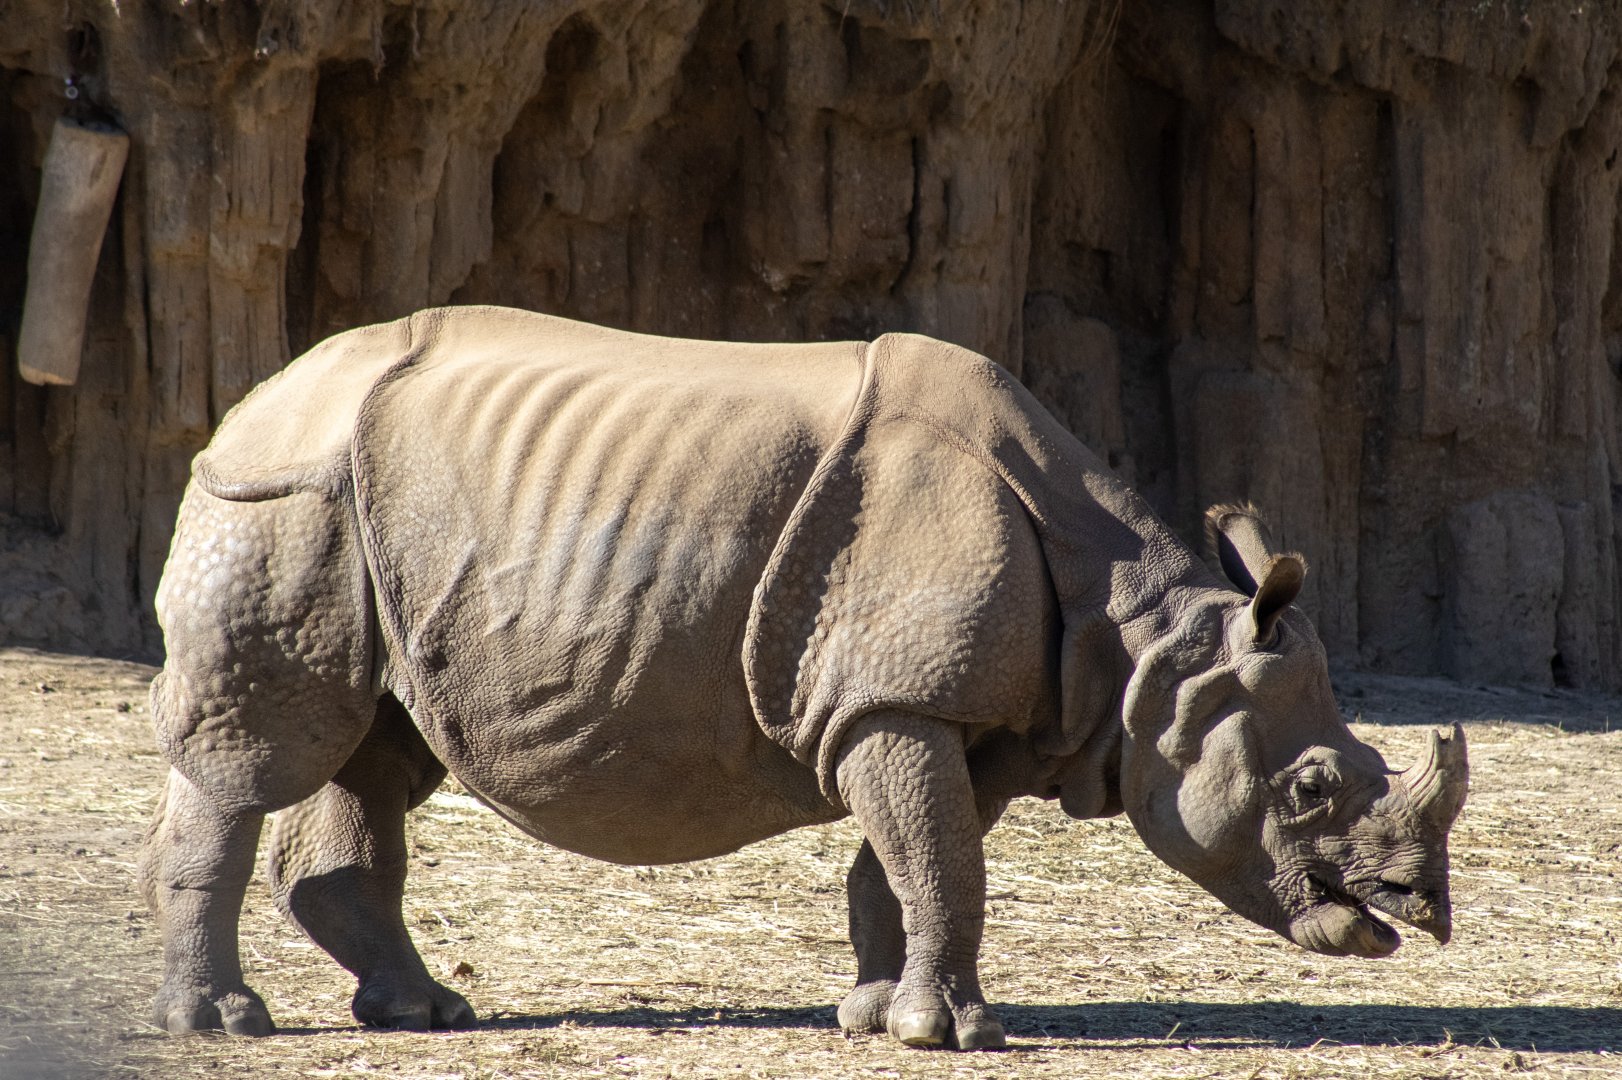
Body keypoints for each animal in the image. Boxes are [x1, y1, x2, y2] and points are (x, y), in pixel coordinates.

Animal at [140, 306, 1467, 1050]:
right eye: (1308, 789)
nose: (1415, 914)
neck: (1142, 646)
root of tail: (250, 399)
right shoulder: (896, 701)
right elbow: (942, 861)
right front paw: (951, 1036)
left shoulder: (949, 714)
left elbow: (909, 864)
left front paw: (879, 1018)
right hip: (280, 495)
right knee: (263, 749)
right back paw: (226, 1025)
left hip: (369, 518)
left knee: (376, 746)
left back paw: (421, 1015)